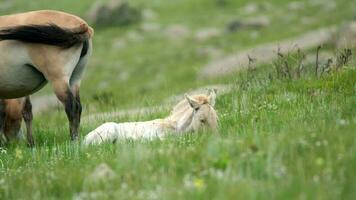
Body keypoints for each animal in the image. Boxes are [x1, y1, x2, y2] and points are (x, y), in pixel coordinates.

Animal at [0, 10, 94, 146]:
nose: (13, 142)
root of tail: (82, 25)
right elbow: (27, 111)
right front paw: (31, 144)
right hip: (75, 79)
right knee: (78, 107)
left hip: (59, 80)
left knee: (71, 107)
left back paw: (73, 141)